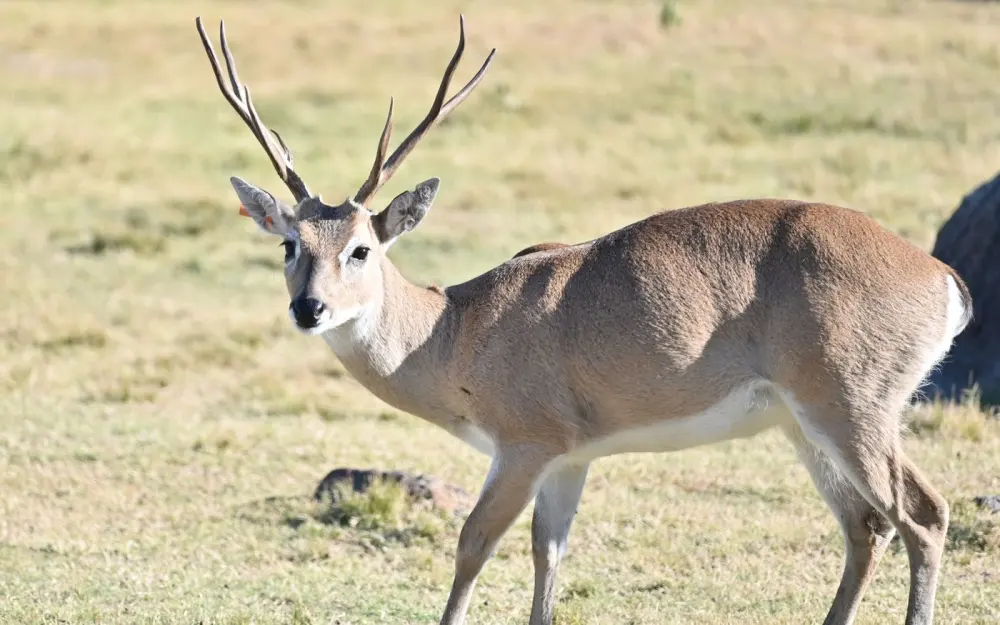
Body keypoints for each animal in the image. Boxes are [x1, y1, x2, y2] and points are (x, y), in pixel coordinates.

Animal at [195, 15, 971, 625]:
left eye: (360, 247)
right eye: (290, 244)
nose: (309, 307)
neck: (455, 328)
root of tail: (938, 274)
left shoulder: (524, 447)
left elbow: (473, 544)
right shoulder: (571, 459)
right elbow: (550, 555)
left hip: (852, 410)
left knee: (923, 515)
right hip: (801, 425)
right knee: (865, 525)